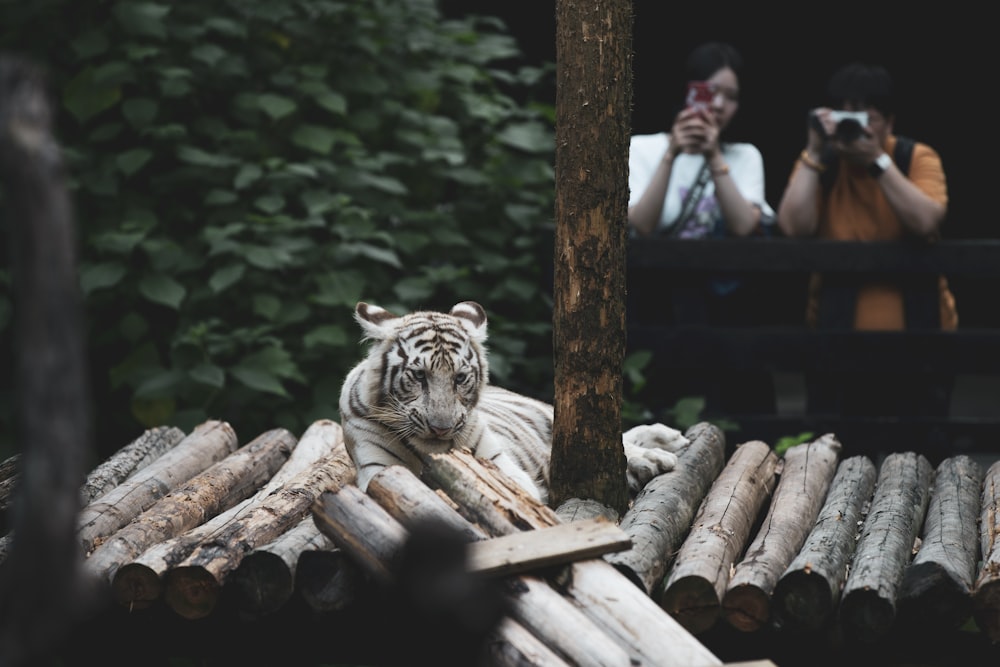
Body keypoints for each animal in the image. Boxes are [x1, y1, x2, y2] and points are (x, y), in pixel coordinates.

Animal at [336, 300, 688, 504]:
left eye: (459, 378)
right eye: (419, 376)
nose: (441, 428)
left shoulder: (498, 462)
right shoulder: (377, 470)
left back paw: (664, 447)